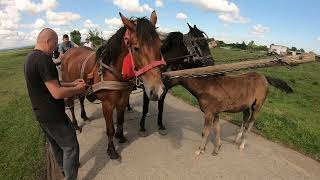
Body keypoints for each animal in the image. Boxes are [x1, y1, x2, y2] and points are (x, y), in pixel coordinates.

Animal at [61, 11, 165, 159]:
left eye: (160, 46)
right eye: (136, 48)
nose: (157, 91)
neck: (113, 71)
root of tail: (68, 53)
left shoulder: (123, 100)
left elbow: (120, 120)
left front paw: (120, 136)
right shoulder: (107, 105)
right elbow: (110, 129)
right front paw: (111, 150)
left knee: (80, 99)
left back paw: (85, 116)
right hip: (69, 86)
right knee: (70, 105)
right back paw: (76, 125)